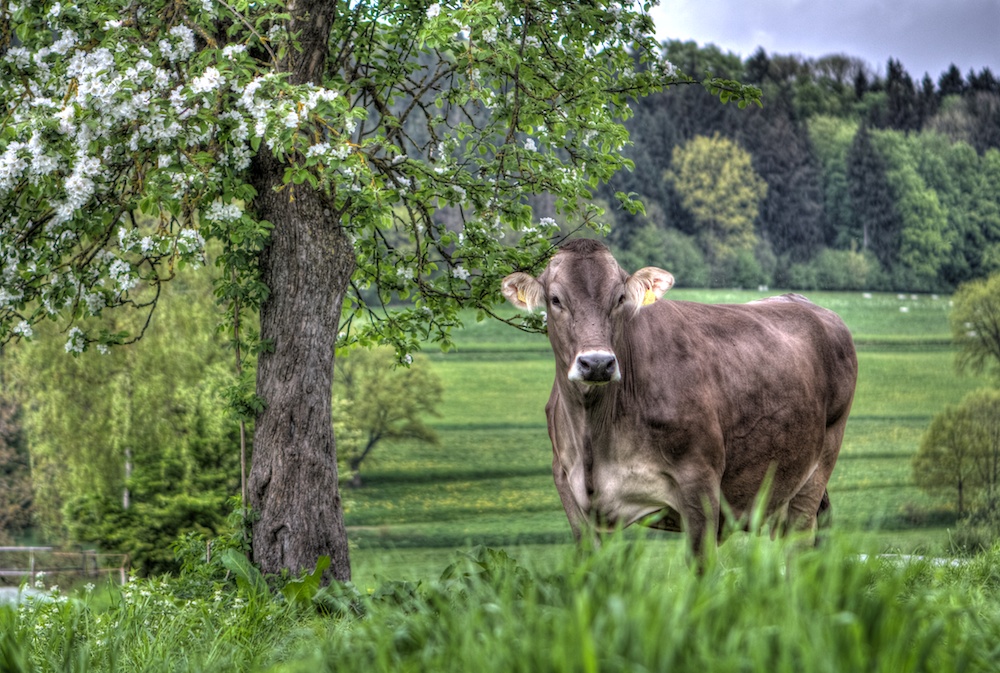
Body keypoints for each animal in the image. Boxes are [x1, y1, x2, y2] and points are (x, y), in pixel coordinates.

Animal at [504, 239, 856, 552]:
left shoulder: (700, 484)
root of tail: (803, 302)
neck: (595, 432)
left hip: (818, 465)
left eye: (619, 298)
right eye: (555, 299)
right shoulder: (570, 489)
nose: (598, 363)